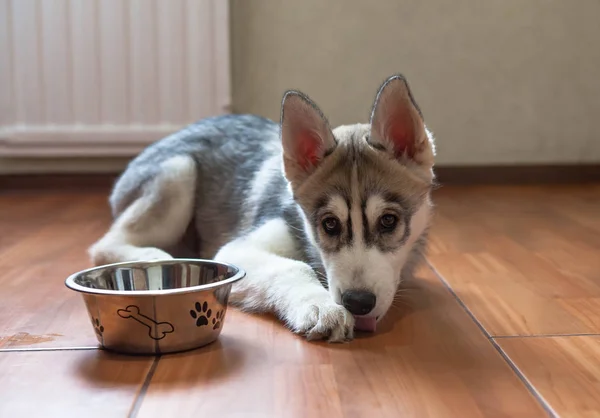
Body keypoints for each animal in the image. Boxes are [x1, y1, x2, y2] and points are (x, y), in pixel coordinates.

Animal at [89, 74, 436, 342]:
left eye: (388, 221)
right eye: (330, 224)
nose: (357, 302)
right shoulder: (237, 250)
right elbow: (292, 266)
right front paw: (319, 305)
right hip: (178, 172)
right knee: (104, 244)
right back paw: (155, 258)